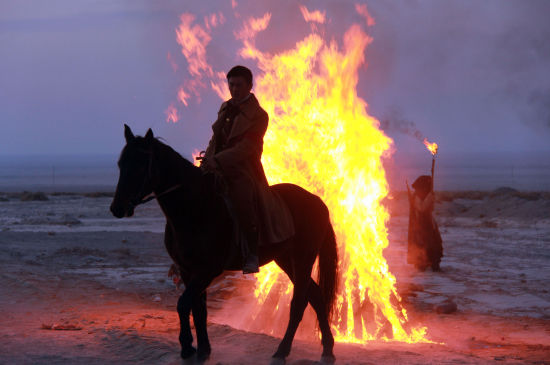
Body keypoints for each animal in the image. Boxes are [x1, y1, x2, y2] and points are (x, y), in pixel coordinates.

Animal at [110, 123, 338, 362]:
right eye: (121, 164)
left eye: (140, 165)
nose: (117, 208)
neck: (195, 208)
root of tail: (317, 201)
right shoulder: (188, 270)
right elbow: (198, 308)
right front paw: (203, 349)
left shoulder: (207, 270)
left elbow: (183, 304)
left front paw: (187, 346)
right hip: (286, 259)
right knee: (316, 296)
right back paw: (327, 350)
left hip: (303, 258)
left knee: (299, 303)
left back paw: (282, 351)